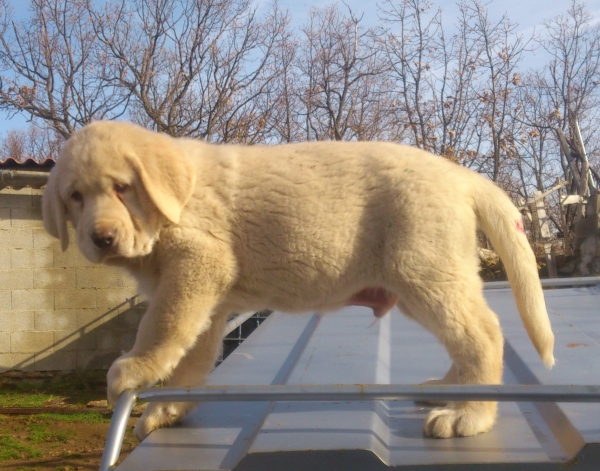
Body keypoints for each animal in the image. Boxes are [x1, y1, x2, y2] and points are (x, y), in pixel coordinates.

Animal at [43, 121, 552, 442]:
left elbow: (160, 327)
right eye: (75, 197)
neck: (174, 200)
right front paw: (167, 410)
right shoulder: (208, 299)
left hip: (425, 272)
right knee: (467, 338)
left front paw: (131, 369)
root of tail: (462, 176)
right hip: (431, 278)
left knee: (483, 335)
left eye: (122, 187)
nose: (101, 238)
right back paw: (449, 390)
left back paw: (470, 413)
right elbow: (191, 356)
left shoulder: (197, 263)